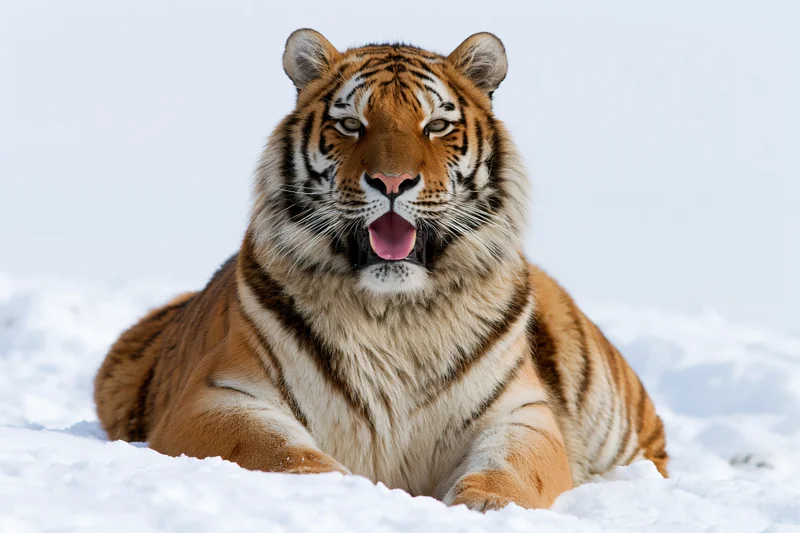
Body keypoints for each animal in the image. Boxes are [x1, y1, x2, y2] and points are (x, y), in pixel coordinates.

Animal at [94, 29, 667, 511]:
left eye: (436, 126)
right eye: (351, 124)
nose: (392, 182)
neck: (396, 316)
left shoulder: (519, 412)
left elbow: (514, 467)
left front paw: (488, 504)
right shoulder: (217, 395)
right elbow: (277, 452)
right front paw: (338, 490)